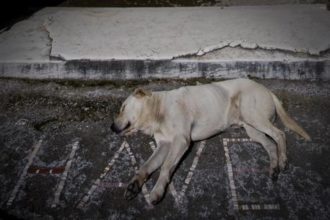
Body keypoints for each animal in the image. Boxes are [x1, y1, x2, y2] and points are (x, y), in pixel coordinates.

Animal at [111, 78, 310, 205]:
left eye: (122, 107)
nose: (111, 127)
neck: (158, 110)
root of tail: (267, 89)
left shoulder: (181, 140)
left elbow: (166, 167)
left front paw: (157, 191)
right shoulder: (164, 145)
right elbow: (146, 166)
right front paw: (135, 184)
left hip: (253, 114)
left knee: (279, 134)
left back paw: (283, 160)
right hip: (252, 128)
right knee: (269, 143)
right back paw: (274, 167)